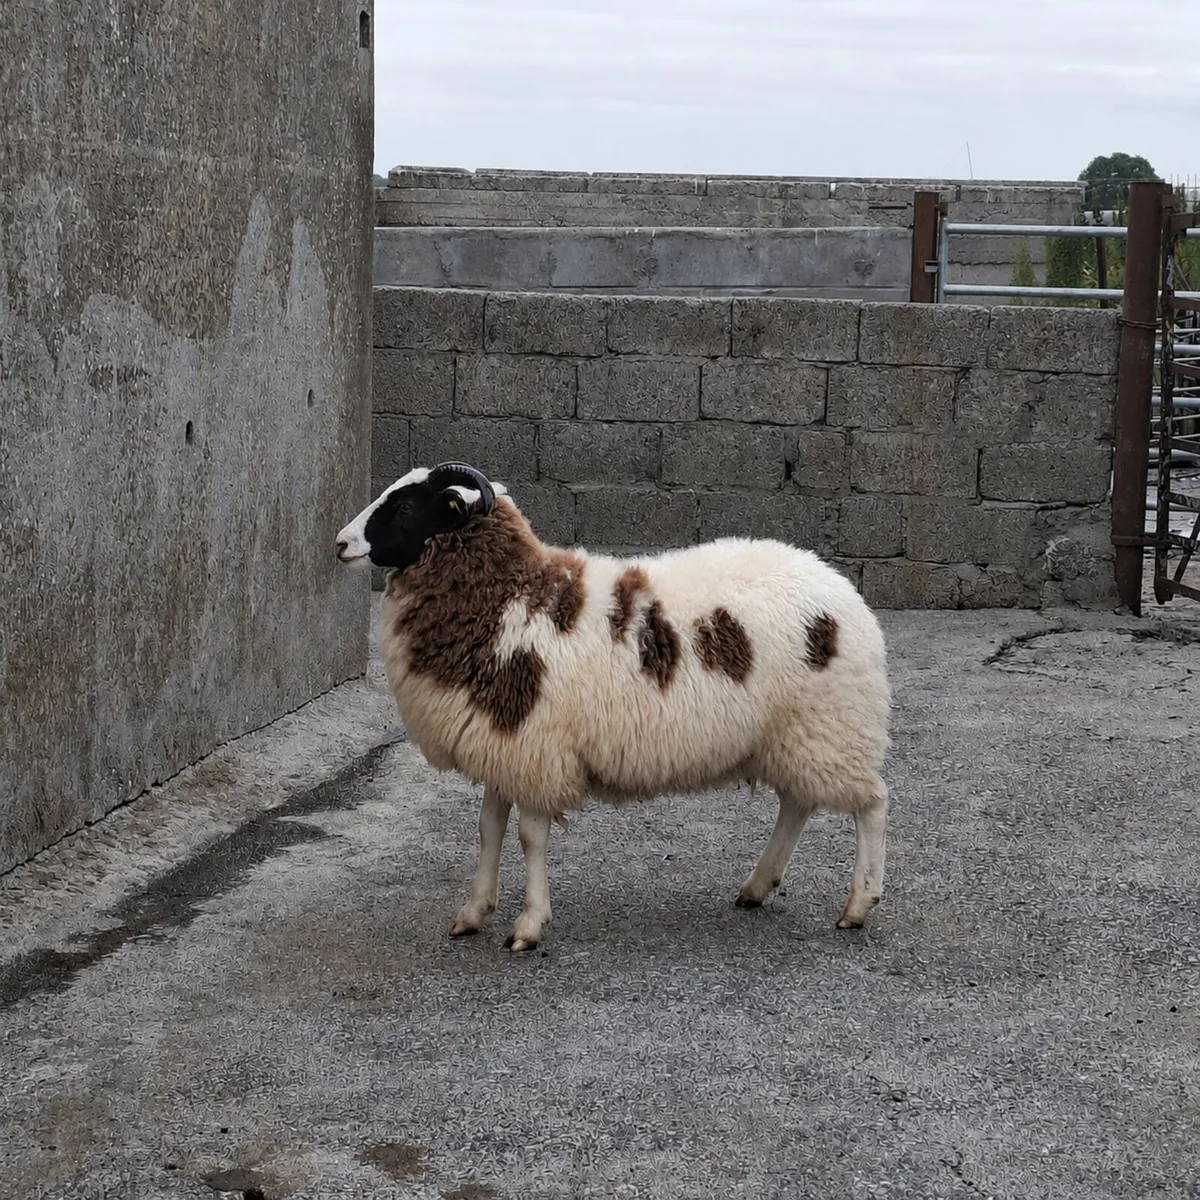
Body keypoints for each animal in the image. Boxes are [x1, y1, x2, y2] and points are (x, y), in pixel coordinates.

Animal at [335, 461, 891, 952]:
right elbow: (488, 830)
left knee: (871, 805)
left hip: (836, 727)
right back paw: (757, 886)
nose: (340, 543)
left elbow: (529, 837)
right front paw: (473, 913)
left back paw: (858, 905)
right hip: (799, 735)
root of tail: (839, 586)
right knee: (797, 804)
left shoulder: (538, 750)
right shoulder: (504, 742)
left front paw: (528, 927)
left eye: (406, 505)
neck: (511, 597)